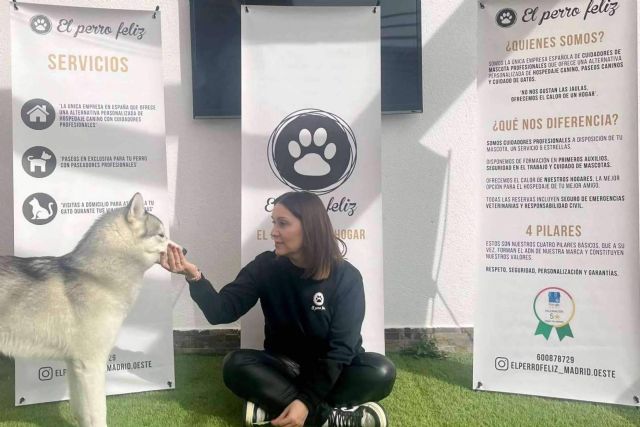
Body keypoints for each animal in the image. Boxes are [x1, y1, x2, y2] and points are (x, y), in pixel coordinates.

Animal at [0, 194, 172, 427]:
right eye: (161, 235)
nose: (185, 251)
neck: (98, 277)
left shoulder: (75, 365)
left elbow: (82, 411)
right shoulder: (91, 364)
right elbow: (98, 413)